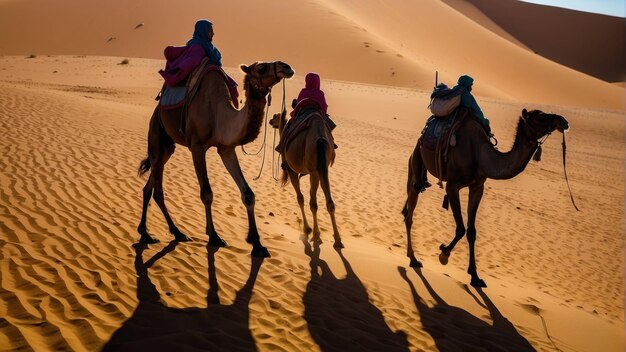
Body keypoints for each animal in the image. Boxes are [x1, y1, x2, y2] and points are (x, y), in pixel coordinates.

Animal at [136, 61, 292, 258]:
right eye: (261, 67)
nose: (286, 67)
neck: (219, 115)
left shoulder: (226, 148)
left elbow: (248, 194)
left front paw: (257, 244)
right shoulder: (197, 147)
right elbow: (207, 194)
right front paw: (214, 236)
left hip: (166, 149)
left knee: (149, 186)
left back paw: (146, 233)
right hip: (157, 133)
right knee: (157, 190)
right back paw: (176, 233)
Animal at [266, 107, 338, 248]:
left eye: (275, 116)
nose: (270, 121)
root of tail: (320, 137)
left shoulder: (291, 169)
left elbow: (300, 198)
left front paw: (307, 229)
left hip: (312, 169)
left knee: (313, 203)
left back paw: (315, 231)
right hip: (322, 167)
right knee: (328, 201)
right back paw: (337, 238)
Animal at [402, 108, 568, 288]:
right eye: (540, 116)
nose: (563, 121)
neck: (479, 155)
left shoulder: (477, 187)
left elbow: (471, 231)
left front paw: (475, 276)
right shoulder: (452, 186)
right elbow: (461, 228)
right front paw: (444, 253)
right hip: (417, 160)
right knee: (410, 212)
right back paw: (413, 259)